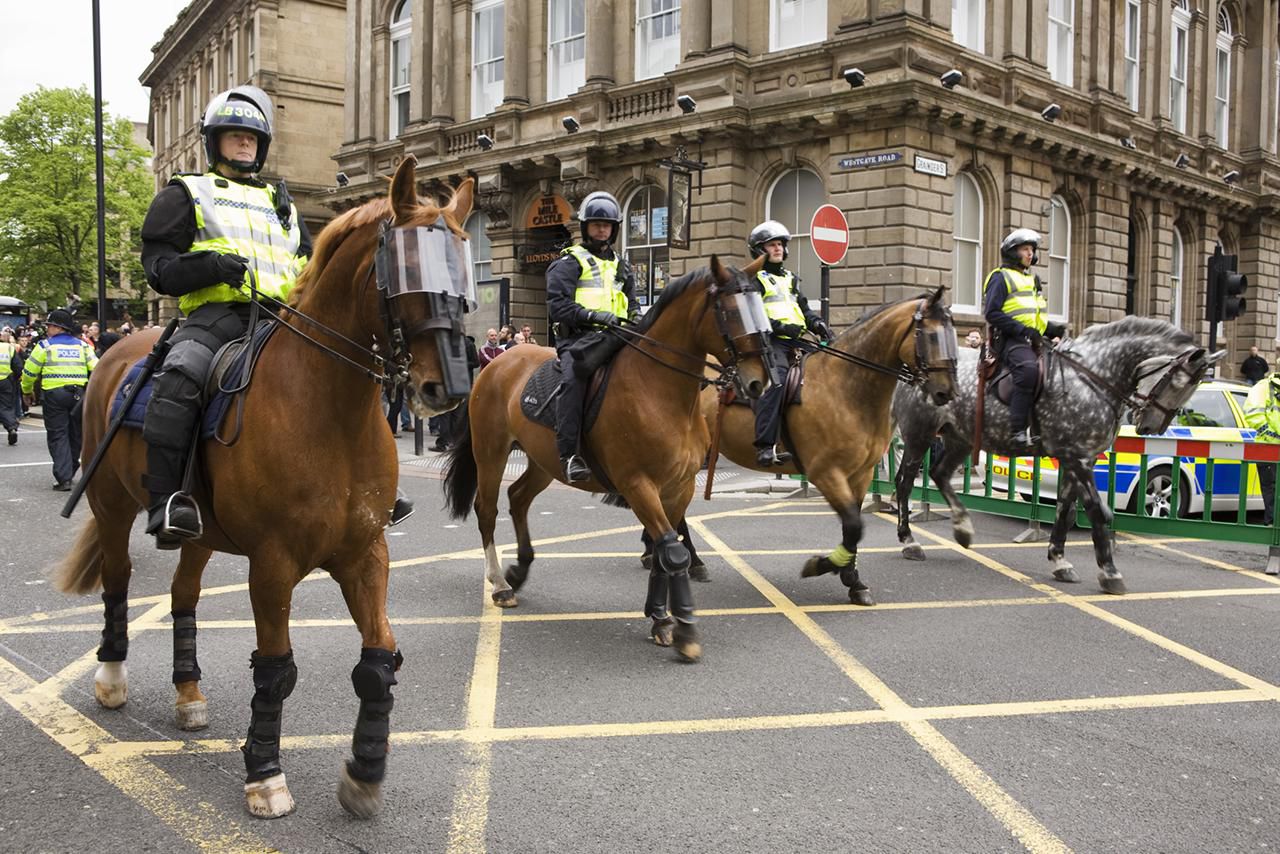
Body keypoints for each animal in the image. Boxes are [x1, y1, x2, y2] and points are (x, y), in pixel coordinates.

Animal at [53, 158, 476, 819]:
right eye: (404, 266)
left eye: (463, 261)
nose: (450, 387)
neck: (330, 412)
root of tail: (122, 345)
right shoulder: (273, 564)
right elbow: (275, 669)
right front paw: (265, 775)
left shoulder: (365, 554)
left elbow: (379, 658)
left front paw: (365, 772)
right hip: (114, 505)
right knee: (119, 581)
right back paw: (112, 677)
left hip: (201, 531)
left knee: (182, 594)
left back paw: (189, 693)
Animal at [445, 257, 773, 665]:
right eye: (729, 311)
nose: (759, 382)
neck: (659, 391)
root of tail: (498, 362)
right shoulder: (637, 485)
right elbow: (672, 550)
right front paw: (683, 630)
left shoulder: (678, 488)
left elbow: (666, 549)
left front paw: (660, 618)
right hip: (491, 451)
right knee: (487, 510)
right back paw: (502, 585)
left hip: (543, 461)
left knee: (518, 498)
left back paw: (520, 569)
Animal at [701, 290, 962, 604]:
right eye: (932, 337)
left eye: (953, 334)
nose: (947, 392)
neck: (845, 388)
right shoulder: (826, 473)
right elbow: (853, 525)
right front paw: (822, 566)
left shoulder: (860, 474)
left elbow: (853, 527)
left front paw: (853, 580)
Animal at [885, 316, 1223, 594]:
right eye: (1178, 382)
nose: (1151, 425)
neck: (1092, 378)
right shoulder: (1077, 458)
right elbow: (1098, 512)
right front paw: (1109, 572)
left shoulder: (1080, 458)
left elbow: (1066, 510)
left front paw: (1059, 560)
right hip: (919, 436)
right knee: (904, 482)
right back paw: (910, 541)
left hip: (960, 439)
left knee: (939, 473)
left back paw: (963, 528)